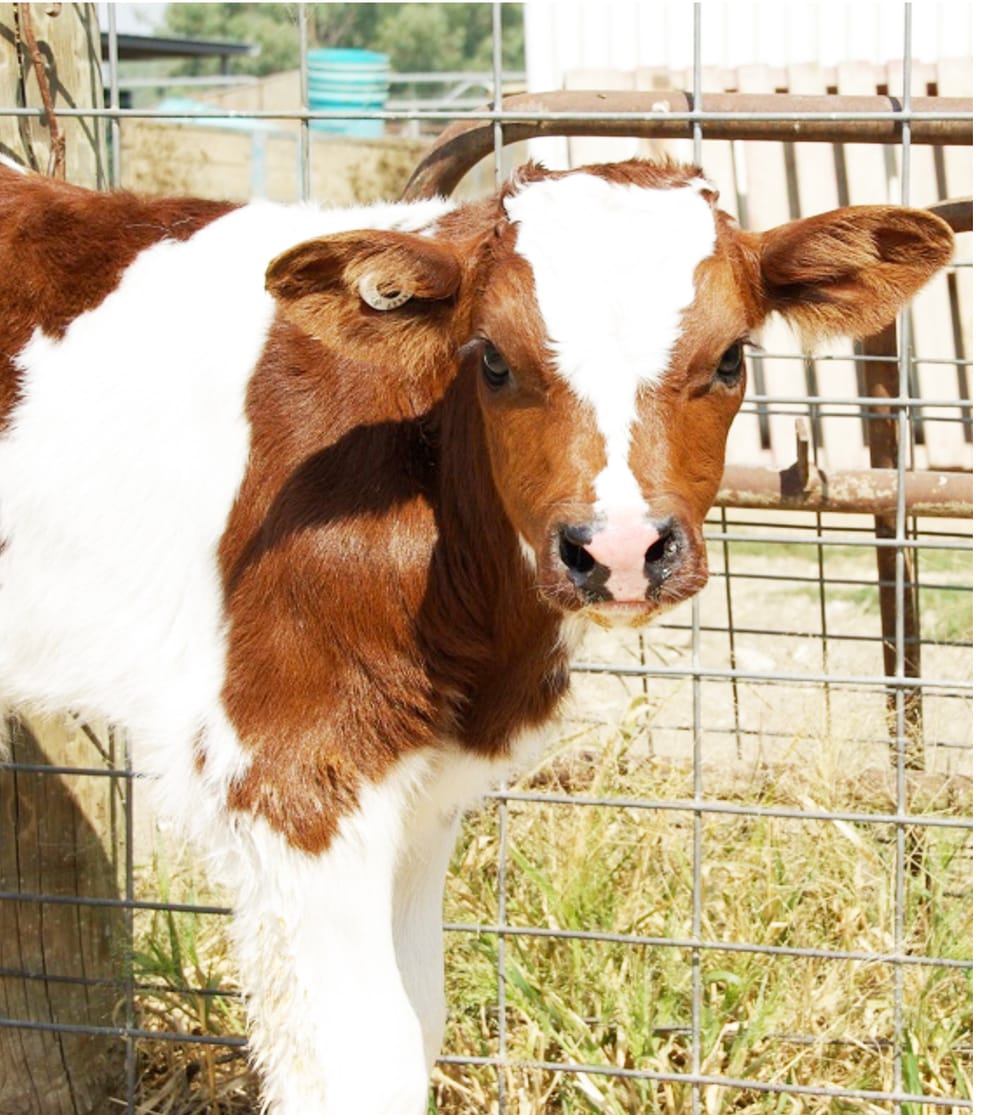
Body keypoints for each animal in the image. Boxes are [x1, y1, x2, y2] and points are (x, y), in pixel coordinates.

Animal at [0, 157, 952, 1114]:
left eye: (729, 358)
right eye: (492, 359)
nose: (619, 550)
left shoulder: (429, 784)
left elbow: (420, 1016)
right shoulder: (292, 762)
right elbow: (362, 1053)